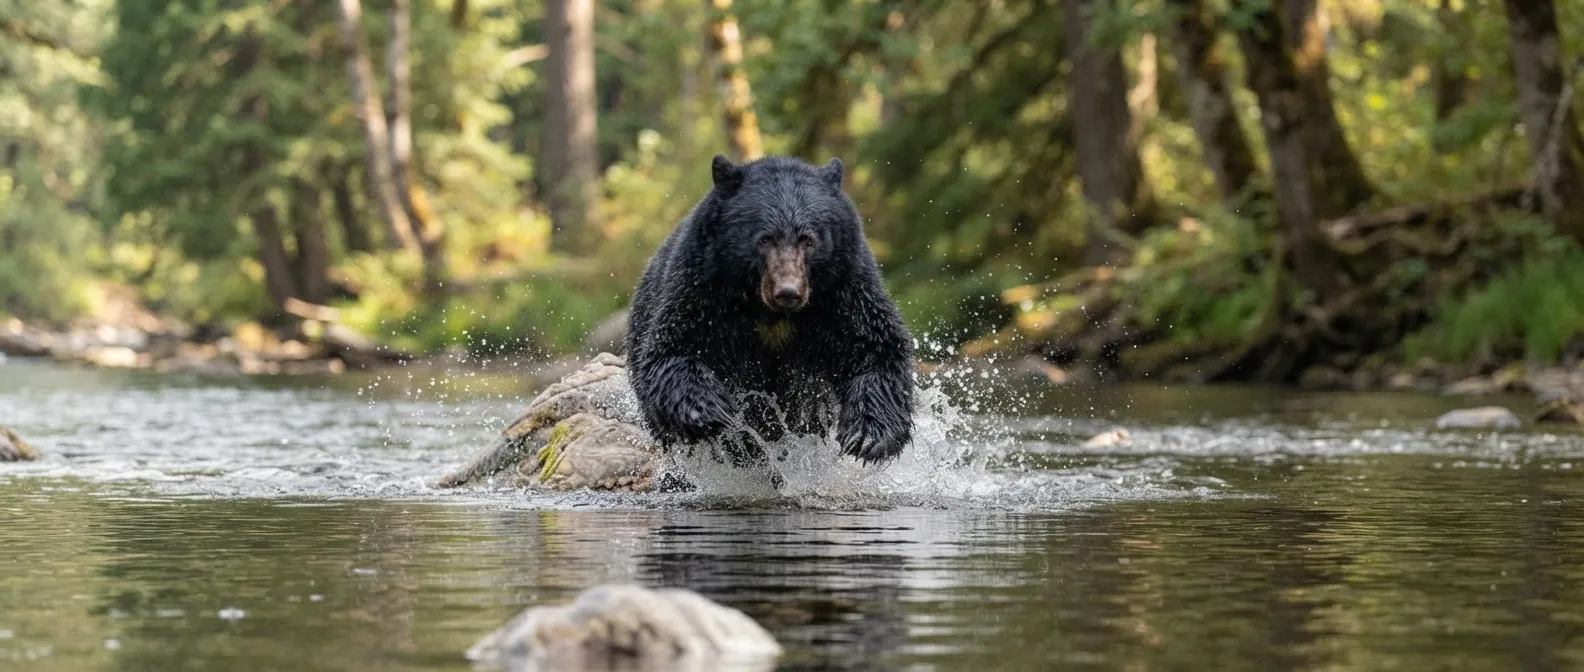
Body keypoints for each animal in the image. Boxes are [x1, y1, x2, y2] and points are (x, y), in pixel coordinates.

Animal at [624, 154, 916, 469]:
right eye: (765, 238)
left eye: (808, 239)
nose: (788, 292)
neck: (771, 314)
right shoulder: (703, 288)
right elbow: (675, 348)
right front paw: (708, 411)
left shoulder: (843, 291)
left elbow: (874, 346)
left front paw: (868, 436)